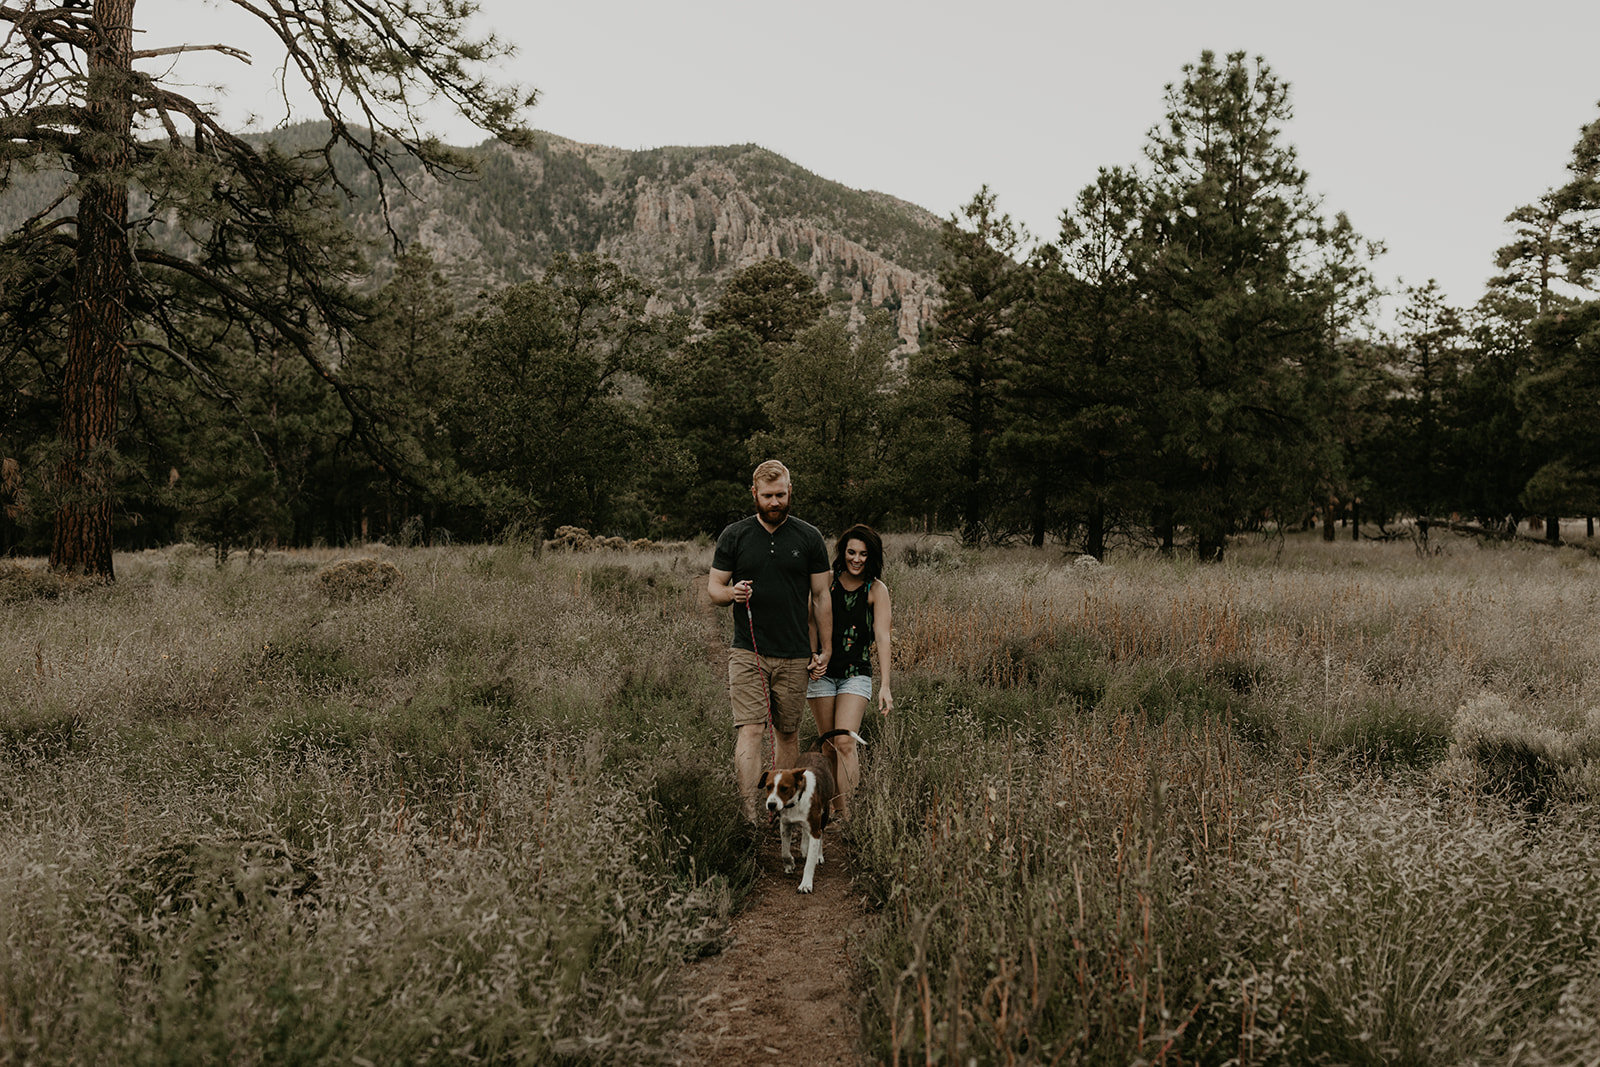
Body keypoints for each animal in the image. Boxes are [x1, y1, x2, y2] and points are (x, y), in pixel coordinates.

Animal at [758, 755, 838, 895]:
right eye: (768, 787)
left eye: (784, 788)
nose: (771, 805)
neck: (795, 801)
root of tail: (816, 752)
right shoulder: (785, 825)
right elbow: (784, 852)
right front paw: (790, 864)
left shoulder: (815, 830)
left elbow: (810, 862)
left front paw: (806, 884)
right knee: (805, 832)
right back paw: (804, 847)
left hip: (825, 814)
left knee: (821, 834)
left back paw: (819, 855)